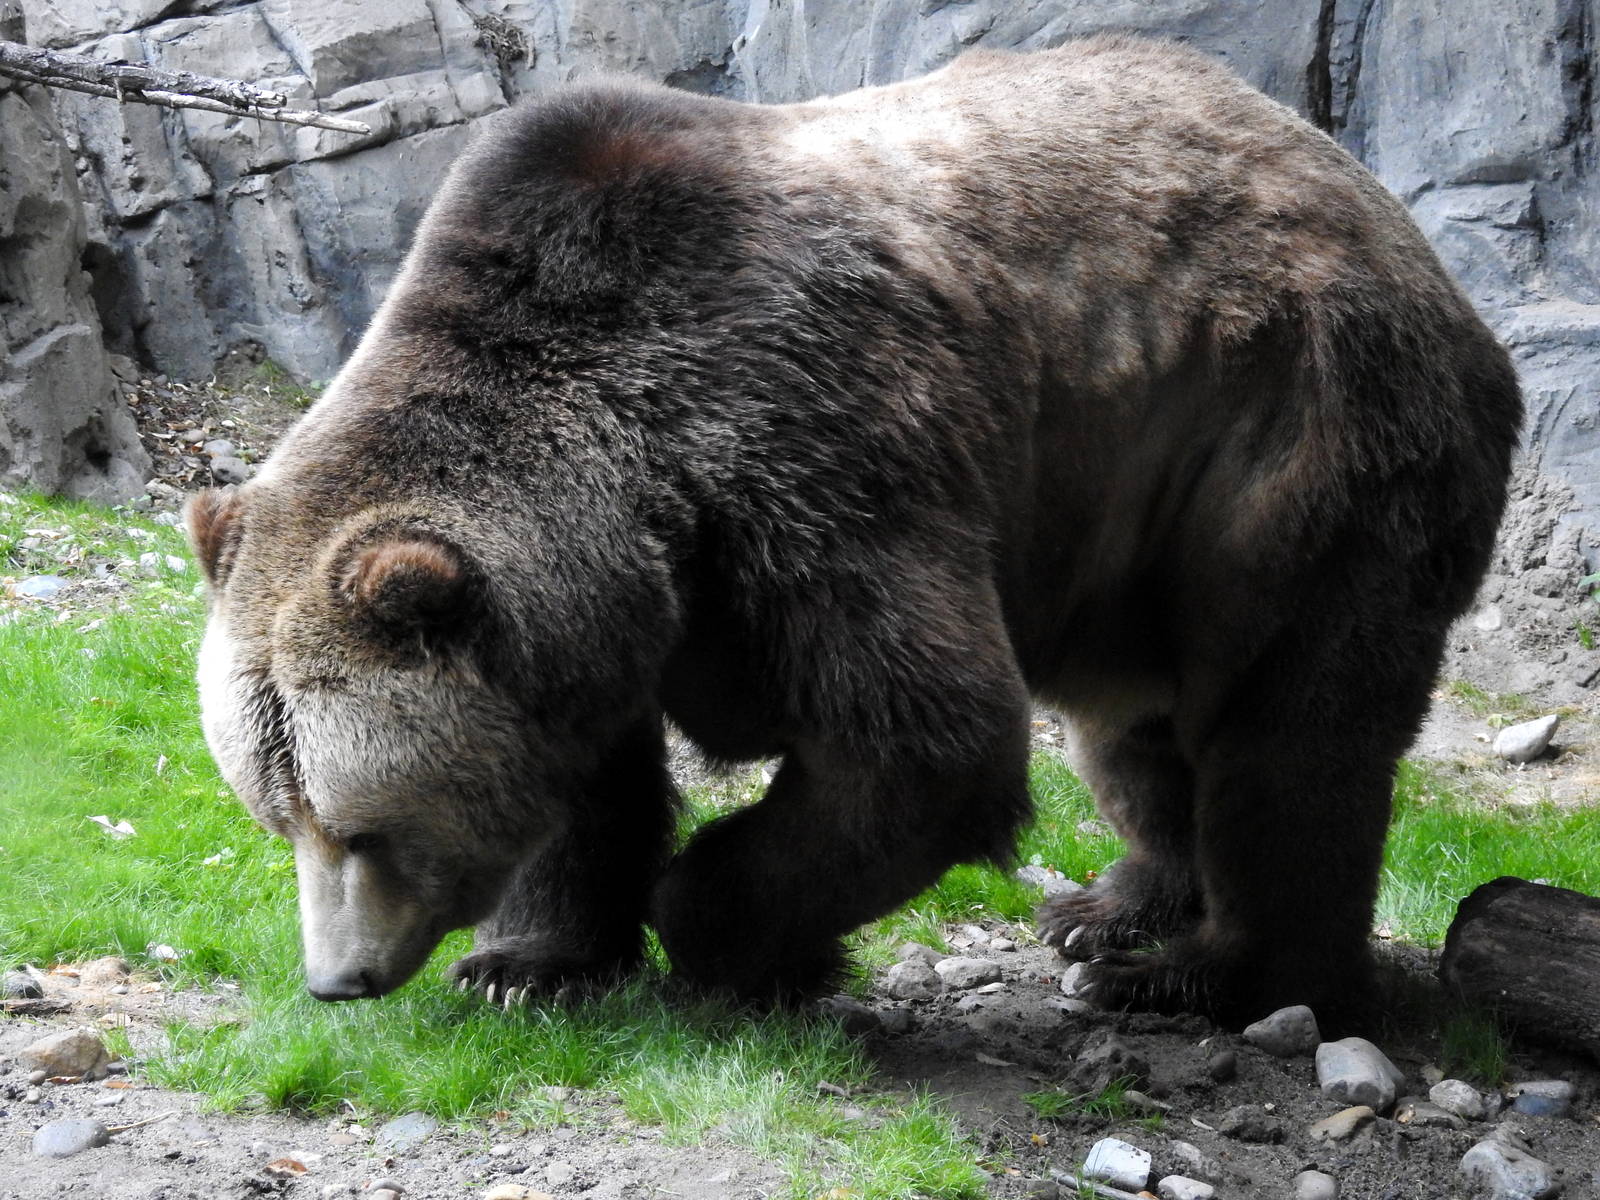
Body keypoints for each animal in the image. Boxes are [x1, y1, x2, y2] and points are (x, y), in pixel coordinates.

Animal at [186, 33, 1520, 1026]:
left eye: (362, 827)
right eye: (275, 816)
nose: (337, 979)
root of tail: (1361, 187)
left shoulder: (812, 447)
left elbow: (922, 738)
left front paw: (743, 941)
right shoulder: (608, 606)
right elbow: (582, 776)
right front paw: (526, 964)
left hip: (1298, 444)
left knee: (1282, 734)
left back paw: (1203, 975)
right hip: (1127, 530)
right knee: (1133, 730)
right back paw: (1111, 906)